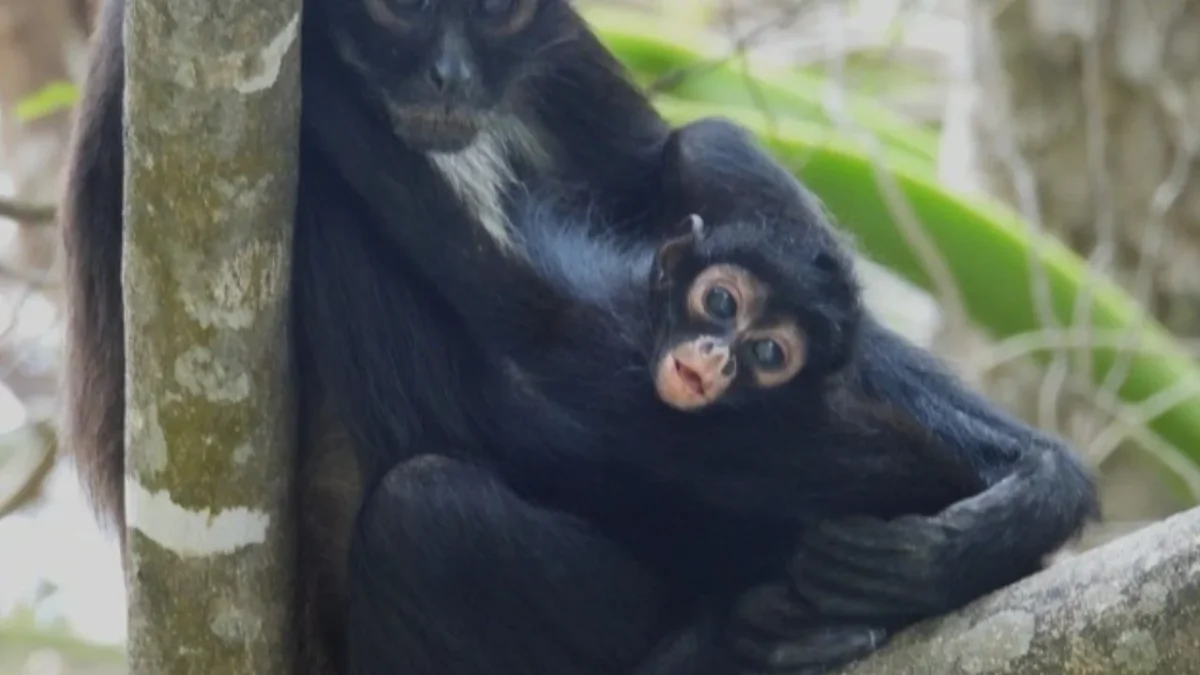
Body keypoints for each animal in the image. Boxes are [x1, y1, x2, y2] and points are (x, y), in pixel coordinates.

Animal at [59, 0, 1098, 672]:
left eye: (497, 14)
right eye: (401, 8)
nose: (451, 76)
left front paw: (1016, 506)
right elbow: (527, 390)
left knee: (707, 146)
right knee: (429, 510)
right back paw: (720, 643)